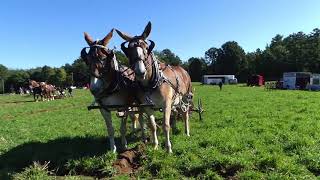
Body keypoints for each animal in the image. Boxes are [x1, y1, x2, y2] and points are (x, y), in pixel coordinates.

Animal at [116, 21, 194, 153]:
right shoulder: (147, 106)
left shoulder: (167, 103)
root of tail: (183, 70)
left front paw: (168, 148)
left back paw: (187, 131)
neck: (151, 84)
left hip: (185, 97)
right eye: (129, 51)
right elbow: (152, 126)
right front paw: (155, 145)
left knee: (185, 113)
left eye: (147, 48)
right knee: (176, 112)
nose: (140, 72)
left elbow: (165, 125)